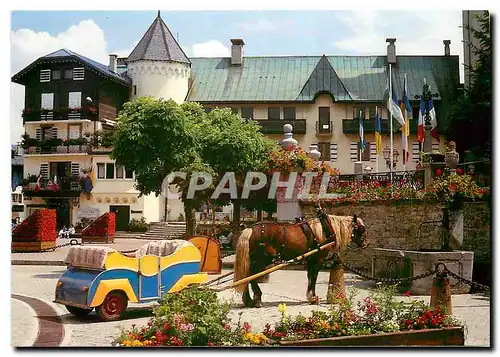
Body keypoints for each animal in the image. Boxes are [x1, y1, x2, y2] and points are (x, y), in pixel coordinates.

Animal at [232, 211, 370, 306]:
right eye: (361, 228)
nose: (367, 243)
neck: (324, 229)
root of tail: (250, 229)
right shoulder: (317, 260)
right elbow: (314, 277)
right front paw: (313, 298)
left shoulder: (310, 259)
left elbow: (309, 276)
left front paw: (310, 296)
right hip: (263, 260)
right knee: (252, 275)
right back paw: (257, 298)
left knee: (246, 275)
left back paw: (248, 299)